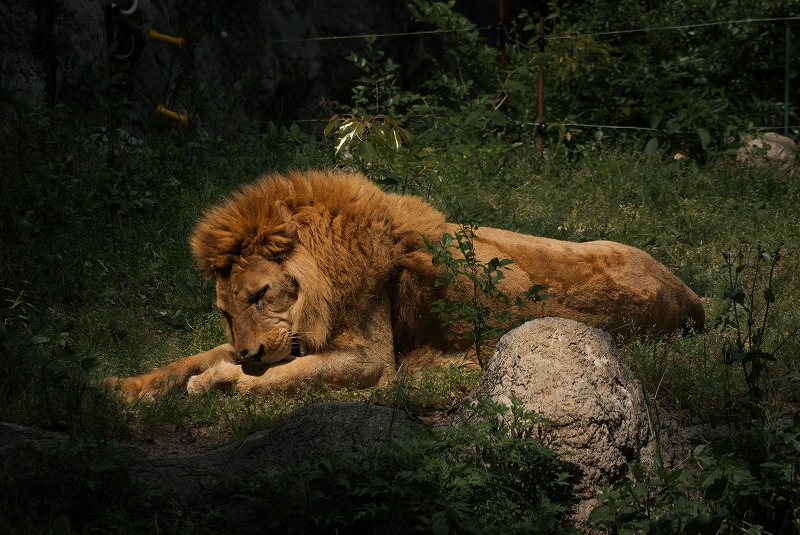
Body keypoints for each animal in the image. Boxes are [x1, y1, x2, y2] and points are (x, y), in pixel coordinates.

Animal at [103, 170, 704, 400]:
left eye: (260, 294)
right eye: (227, 311)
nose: (250, 350)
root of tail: (692, 301)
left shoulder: (370, 359)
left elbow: (278, 378)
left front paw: (218, 381)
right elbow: (189, 357)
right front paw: (121, 387)